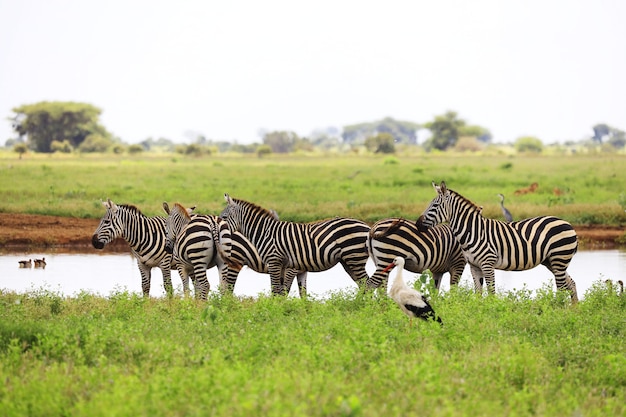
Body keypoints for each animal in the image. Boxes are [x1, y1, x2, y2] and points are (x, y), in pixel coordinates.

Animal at [218, 194, 368, 294]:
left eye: (224, 217)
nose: (219, 231)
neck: (265, 232)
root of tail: (366, 225)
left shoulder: (278, 263)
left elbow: (279, 291)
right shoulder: (290, 267)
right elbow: (292, 293)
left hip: (354, 258)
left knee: (366, 282)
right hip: (349, 261)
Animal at [414, 180, 576, 300]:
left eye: (435, 205)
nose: (417, 225)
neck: (473, 231)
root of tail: (568, 224)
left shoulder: (488, 264)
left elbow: (492, 293)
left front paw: (492, 313)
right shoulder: (474, 266)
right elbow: (478, 294)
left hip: (559, 258)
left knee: (562, 288)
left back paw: (558, 310)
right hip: (552, 261)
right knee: (571, 284)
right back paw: (573, 311)